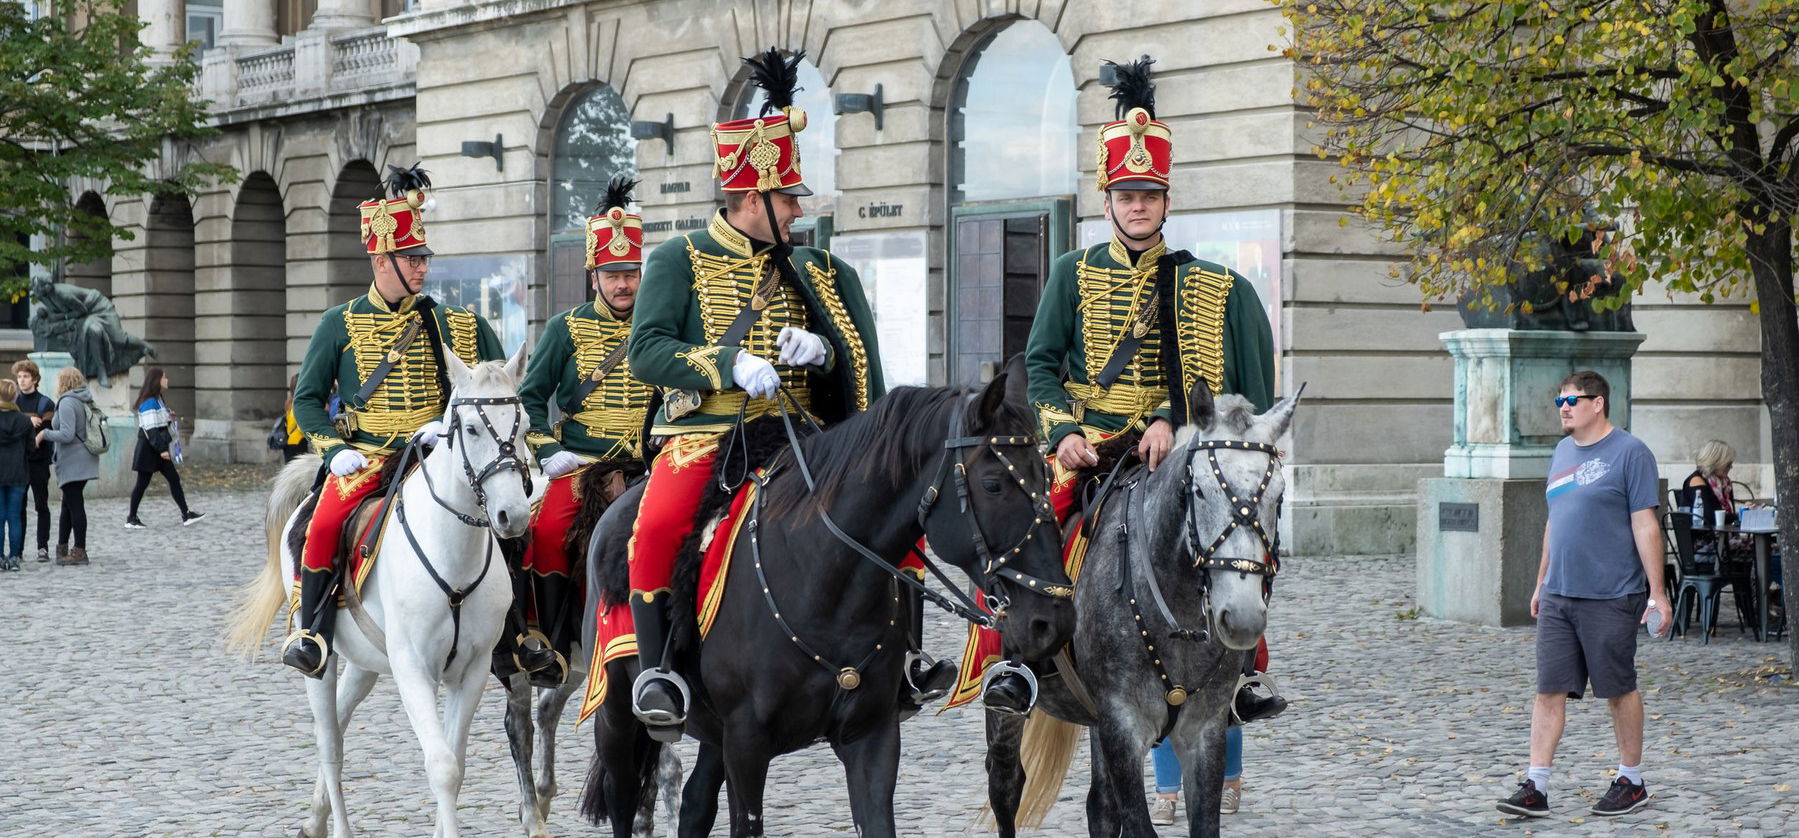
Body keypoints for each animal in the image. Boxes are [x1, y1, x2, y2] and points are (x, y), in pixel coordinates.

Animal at [228, 341, 528, 838]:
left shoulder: (472, 670)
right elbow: (442, 766)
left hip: (366, 661)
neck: (452, 552)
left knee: (342, 719)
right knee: (331, 744)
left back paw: (315, 818)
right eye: (469, 428)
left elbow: (456, 763)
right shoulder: (413, 668)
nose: (514, 515)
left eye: (523, 426)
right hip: (321, 657)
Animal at [582, 356, 1072, 838]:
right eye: (993, 484)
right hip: (616, 712)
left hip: (711, 732)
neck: (824, 586)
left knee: (696, 803)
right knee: (621, 796)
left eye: (1046, 474)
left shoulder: (871, 738)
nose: (1052, 618)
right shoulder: (746, 742)